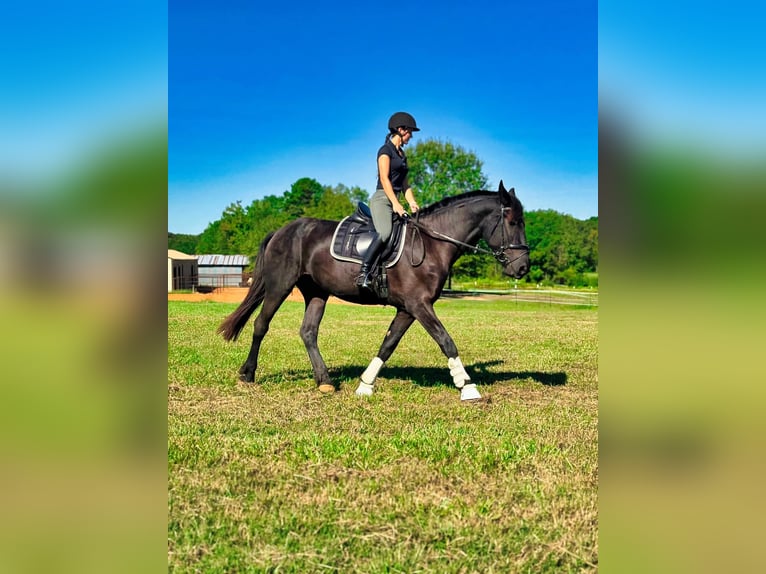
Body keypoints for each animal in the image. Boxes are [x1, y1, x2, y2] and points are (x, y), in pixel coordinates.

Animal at [218, 181, 529, 401]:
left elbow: (388, 344)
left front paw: (365, 385)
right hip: (279, 286)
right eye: (513, 222)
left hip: (317, 292)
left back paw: (325, 382)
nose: (523, 267)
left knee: (308, 332)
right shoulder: (419, 305)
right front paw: (467, 387)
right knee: (261, 324)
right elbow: (446, 341)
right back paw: (248, 374)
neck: (432, 243)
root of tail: (283, 230)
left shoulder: (408, 308)